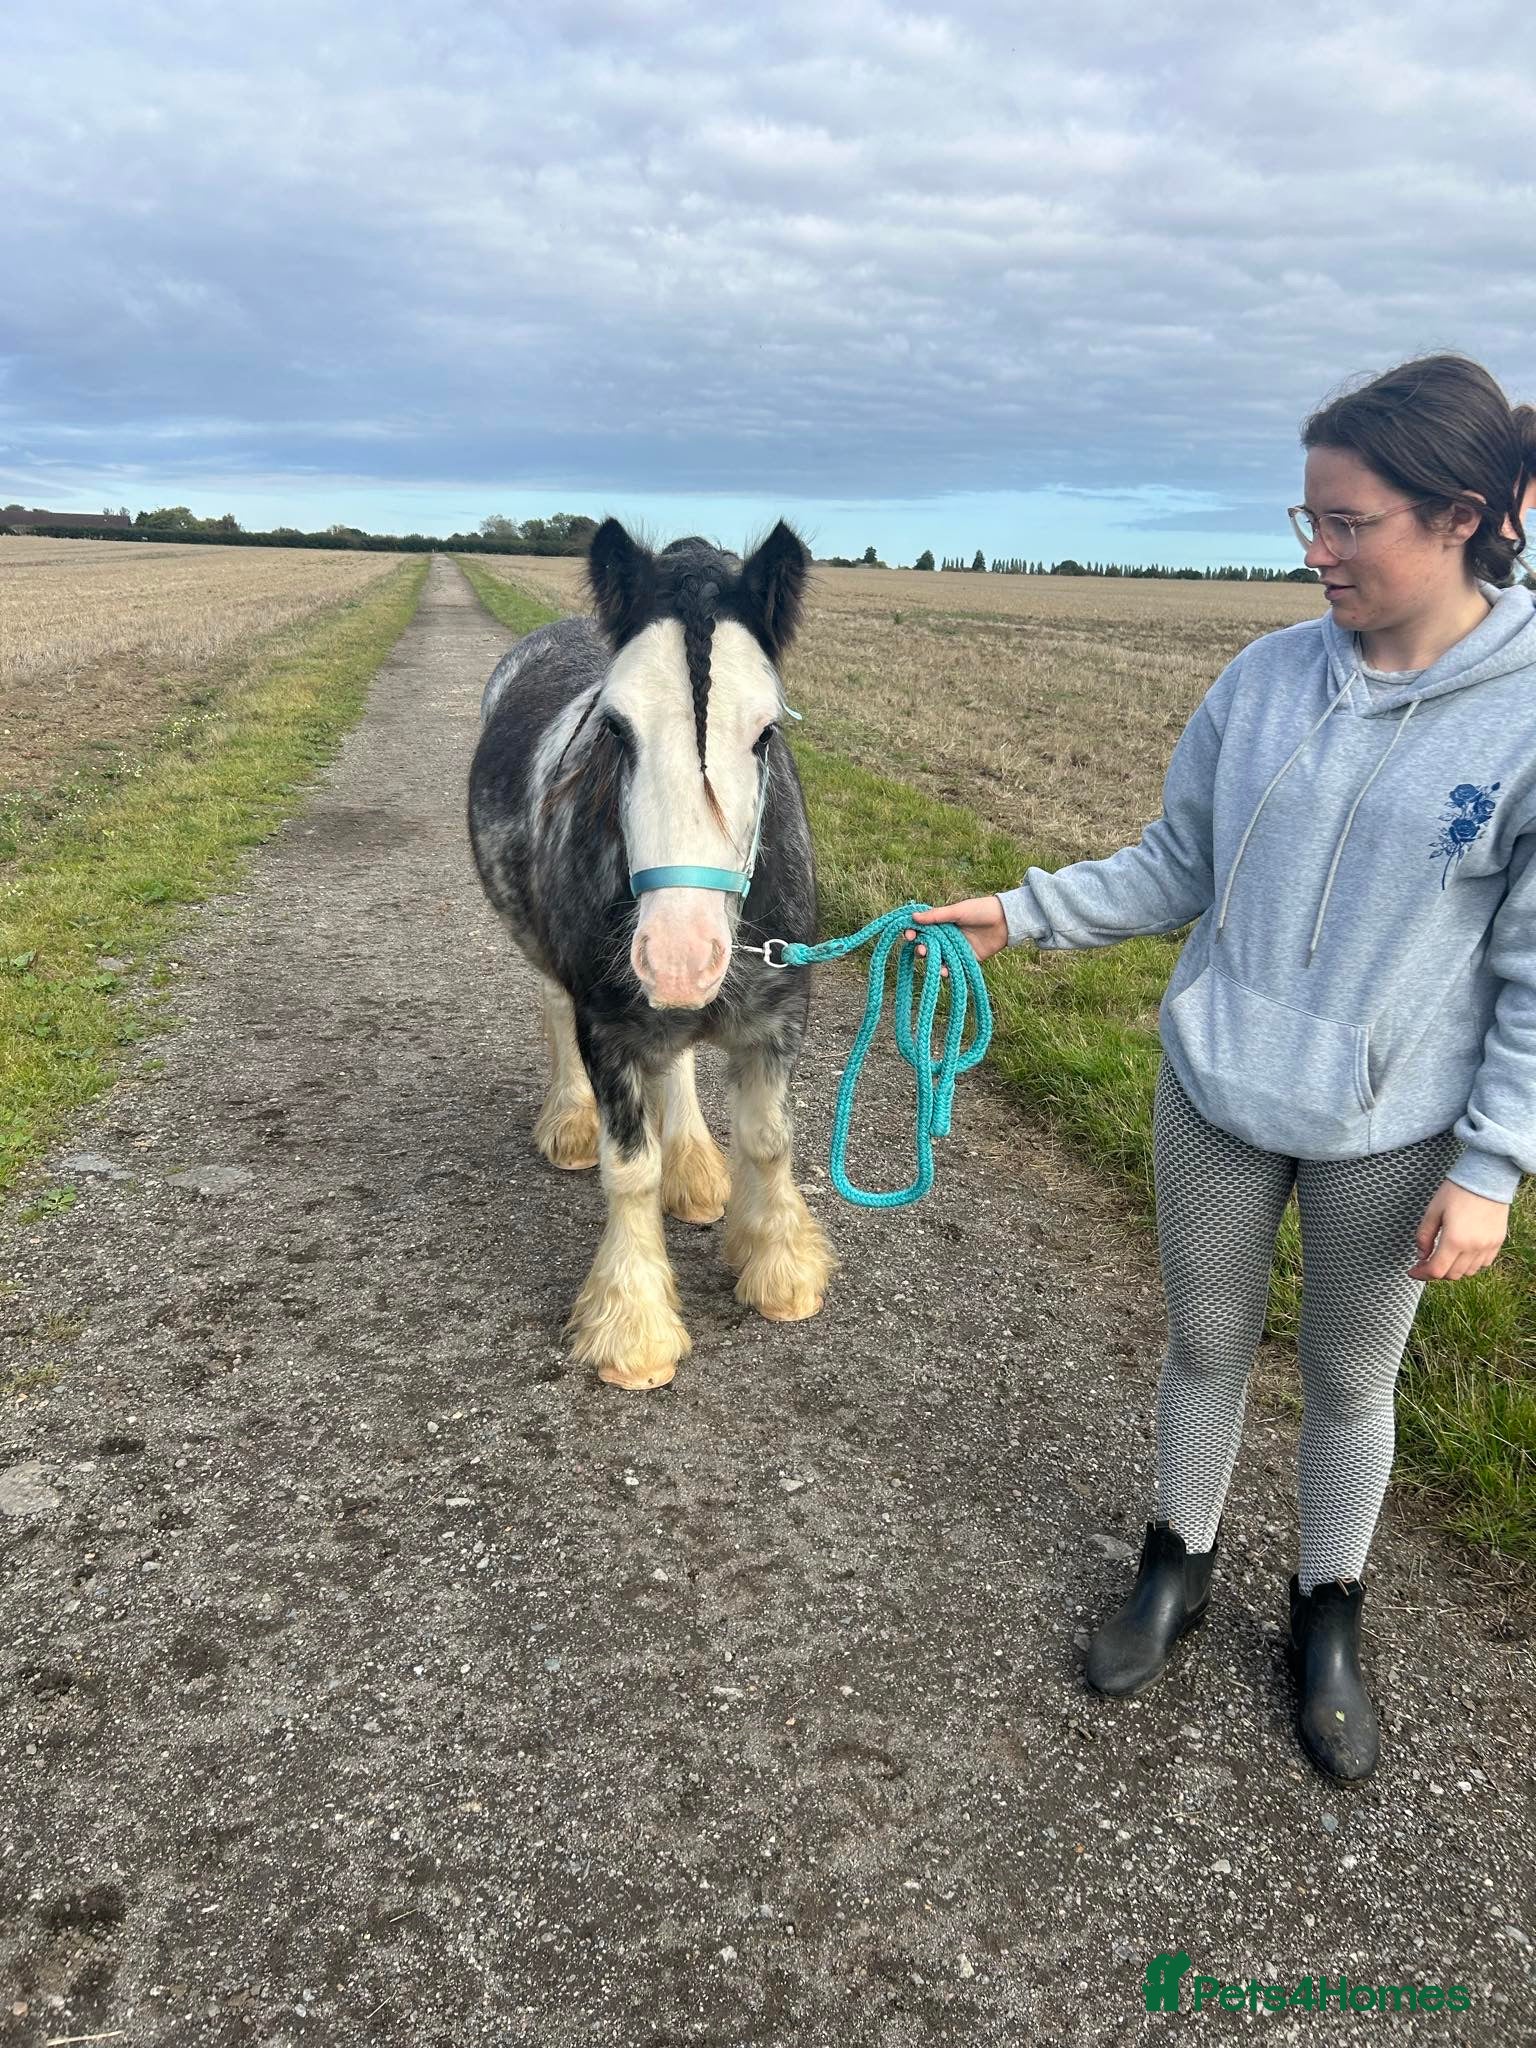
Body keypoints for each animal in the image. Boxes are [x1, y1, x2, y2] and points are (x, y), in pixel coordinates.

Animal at [467, 518, 838, 1390]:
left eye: (766, 732)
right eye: (616, 727)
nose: (677, 956)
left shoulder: (779, 1018)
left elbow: (769, 1141)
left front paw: (779, 1268)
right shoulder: (609, 1030)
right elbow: (628, 1170)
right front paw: (632, 1326)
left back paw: (697, 1170)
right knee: (555, 1010)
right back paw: (571, 1123)